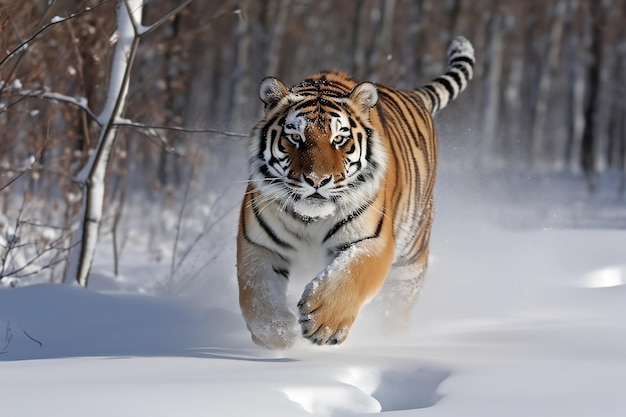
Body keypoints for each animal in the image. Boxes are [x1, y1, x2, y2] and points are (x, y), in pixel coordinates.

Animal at [235, 35, 472, 348]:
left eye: (339, 139)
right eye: (295, 137)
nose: (317, 180)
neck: (310, 219)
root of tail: (412, 94)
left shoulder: (371, 240)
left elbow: (351, 275)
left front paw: (323, 323)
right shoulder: (258, 245)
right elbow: (257, 298)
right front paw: (279, 333)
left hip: (410, 260)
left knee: (396, 305)